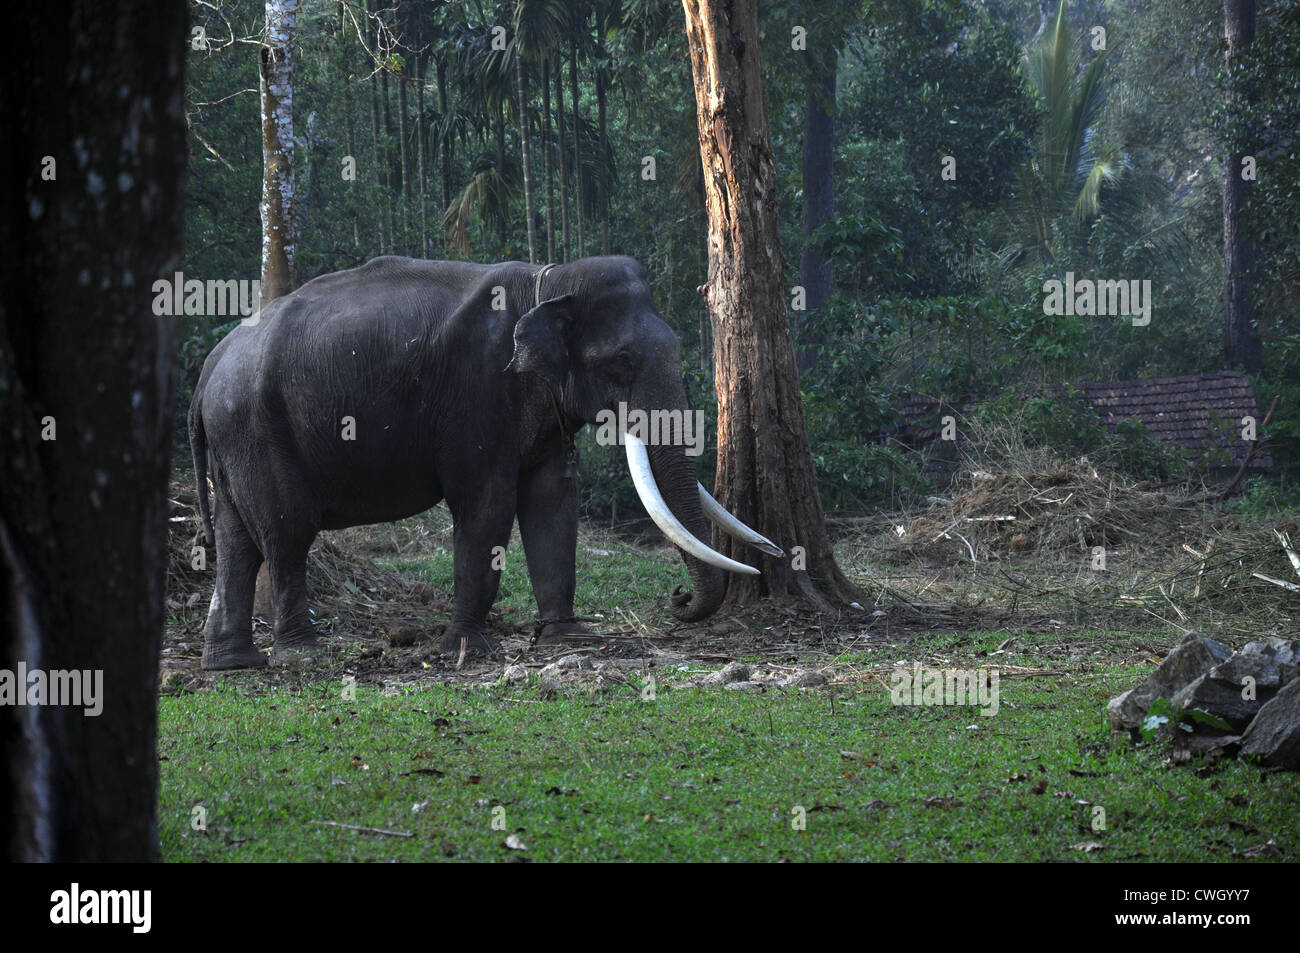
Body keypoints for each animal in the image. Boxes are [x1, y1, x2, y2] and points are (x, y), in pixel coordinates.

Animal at [188, 252, 774, 670]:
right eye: (622, 360)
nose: (677, 598)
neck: (550, 280)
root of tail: (208, 369)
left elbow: (552, 504)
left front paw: (568, 637)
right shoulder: (477, 394)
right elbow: (486, 505)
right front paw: (467, 651)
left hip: (235, 439)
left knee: (237, 539)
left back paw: (231, 663)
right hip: (256, 427)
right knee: (285, 533)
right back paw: (303, 655)